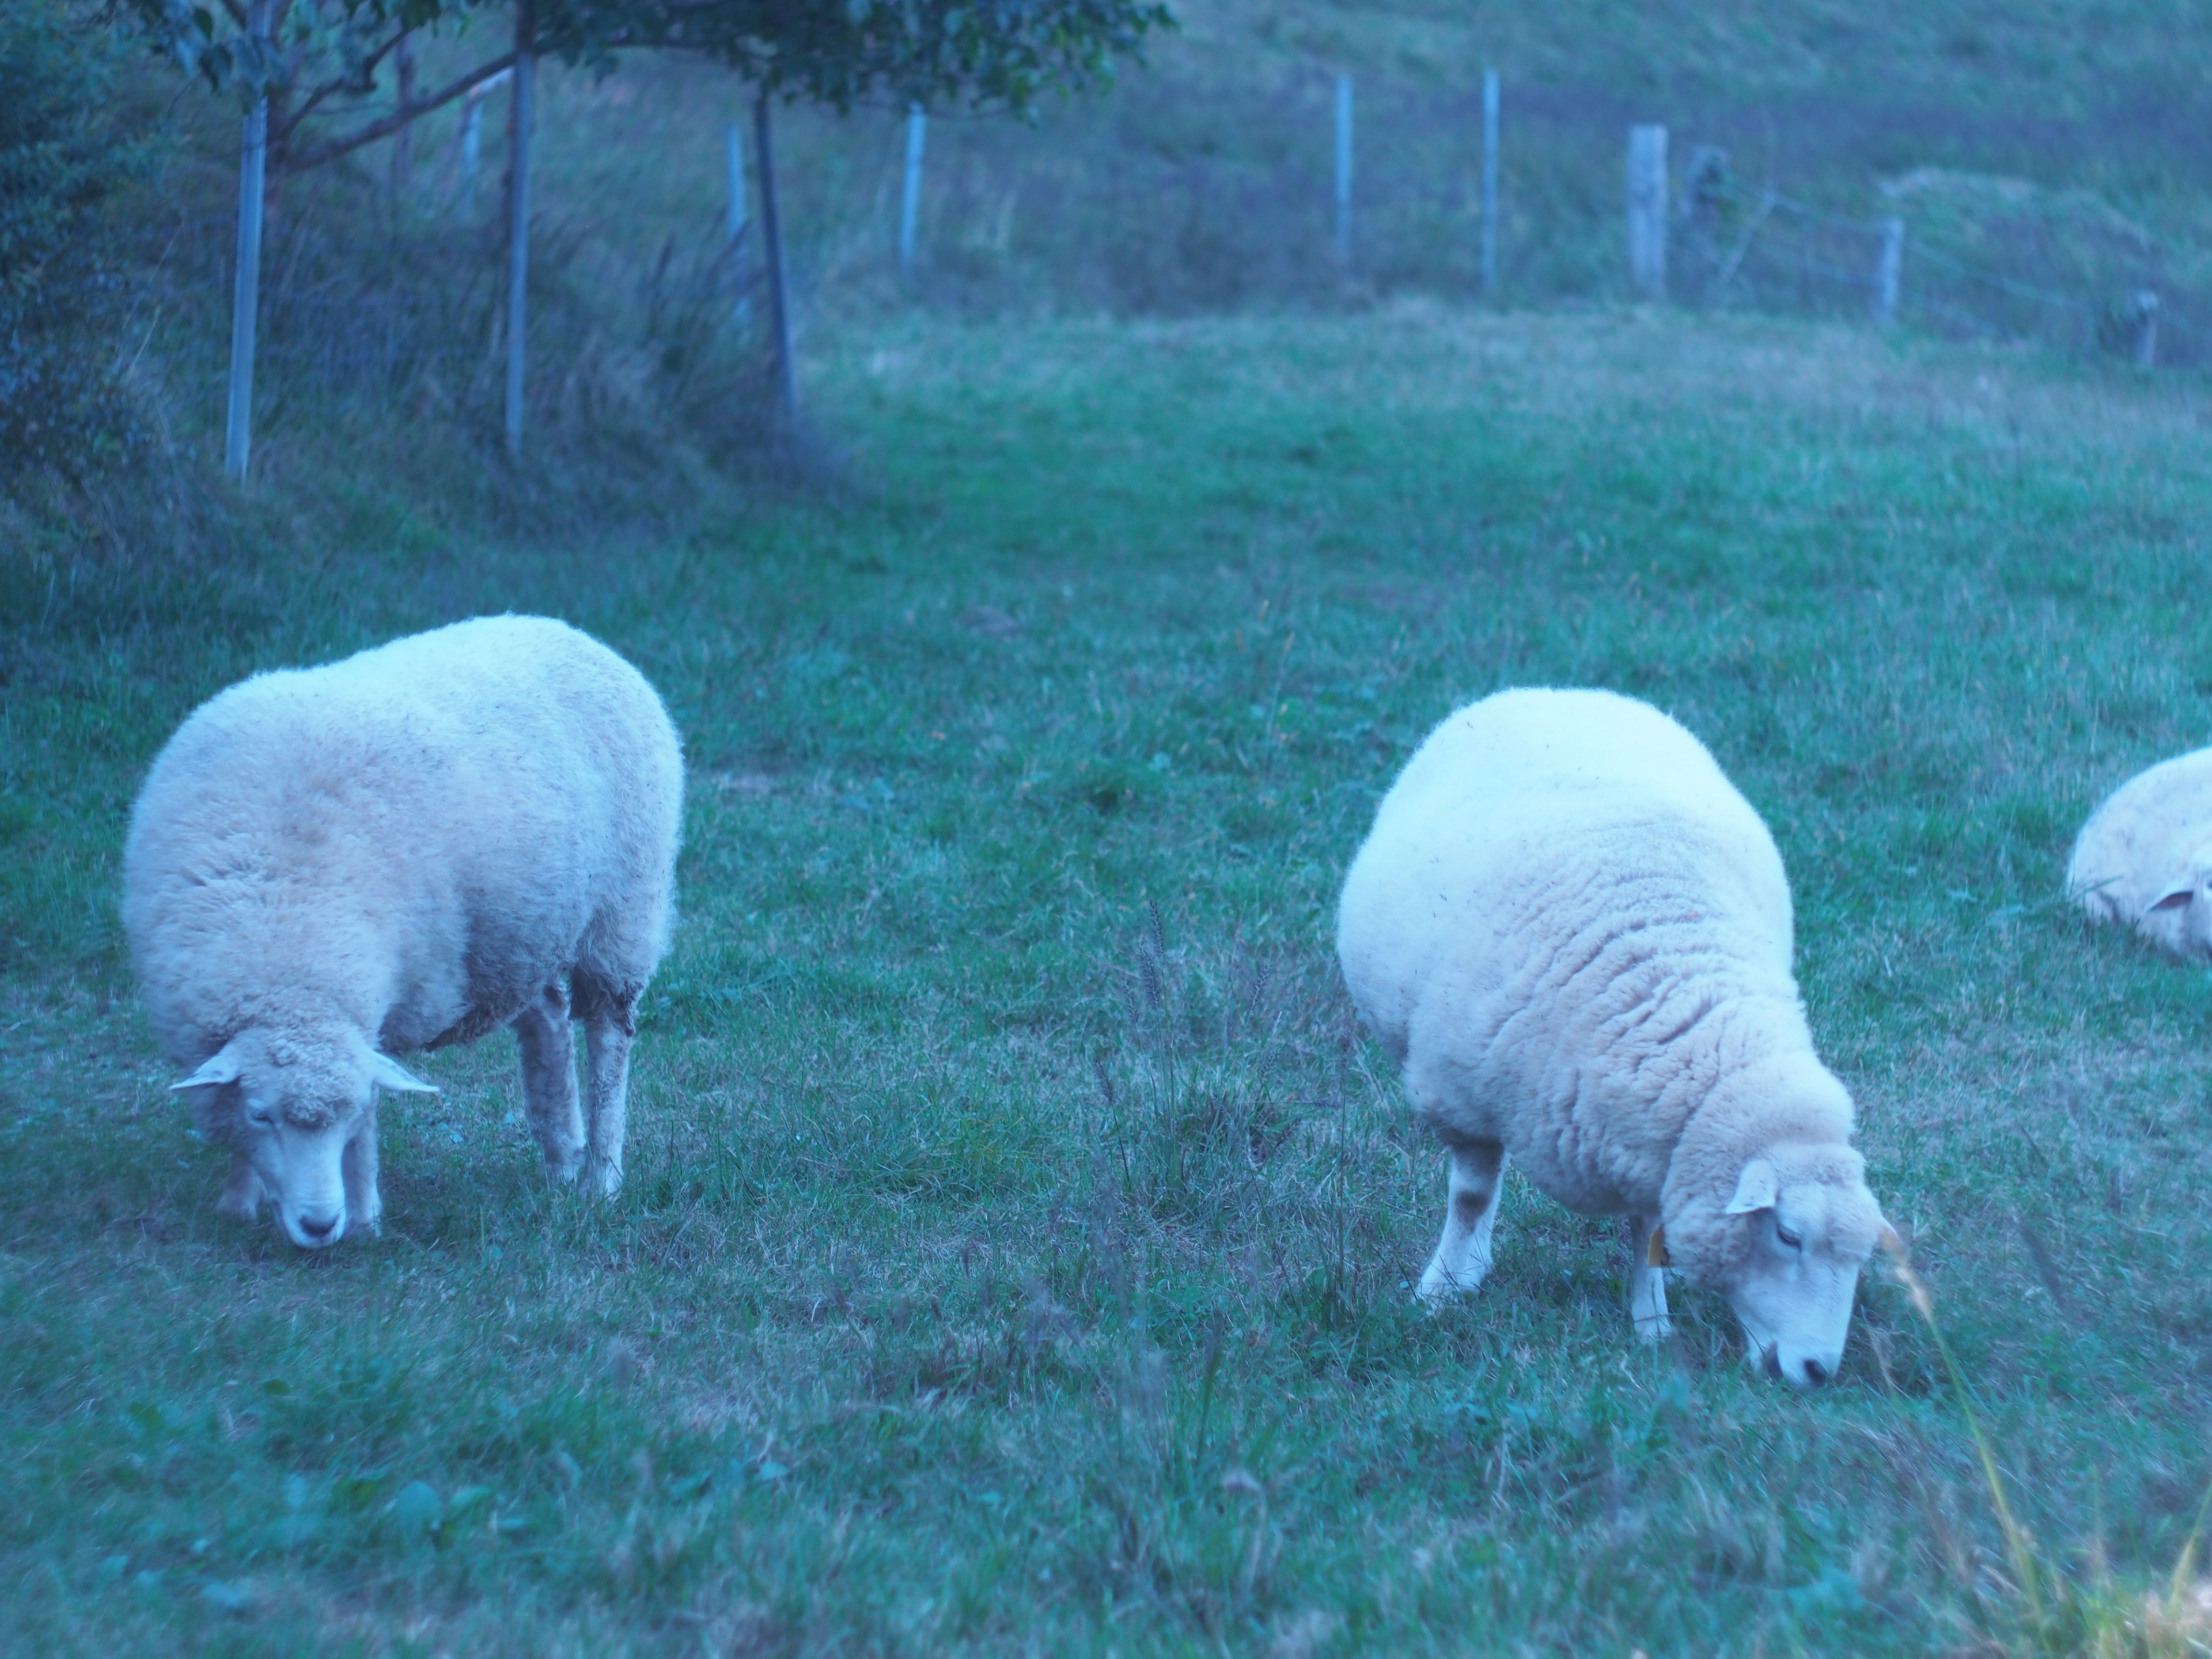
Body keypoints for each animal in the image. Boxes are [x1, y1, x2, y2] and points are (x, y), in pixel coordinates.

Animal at [127, 619, 681, 1256]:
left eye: (344, 1118)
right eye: (262, 1116)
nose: (319, 1225)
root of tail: (574, 634)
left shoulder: (376, 1009)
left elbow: (367, 1126)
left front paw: (364, 1219)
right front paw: (239, 1203)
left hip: (624, 910)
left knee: (608, 1041)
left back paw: (601, 1179)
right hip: (519, 934)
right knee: (547, 1022)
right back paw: (561, 1156)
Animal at [1336, 690, 1893, 1389]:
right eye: (1789, 1235)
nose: (1820, 1371)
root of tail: (1558, 691)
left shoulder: (1656, 1148)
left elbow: (1646, 1232)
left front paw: (1651, 1324)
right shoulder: (1458, 1096)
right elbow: (1469, 1198)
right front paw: (1438, 1291)